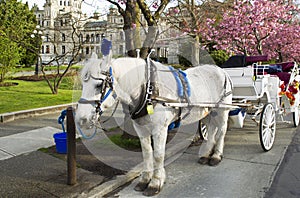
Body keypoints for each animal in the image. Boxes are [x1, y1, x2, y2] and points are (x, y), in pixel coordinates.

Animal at [74, 51, 232, 196]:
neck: (148, 90)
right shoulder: (141, 129)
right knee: (211, 130)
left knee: (221, 131)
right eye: (82, 84)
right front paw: (145, 180)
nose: (81, 119)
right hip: (208, 111)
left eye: (99, 85)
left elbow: (158, 155)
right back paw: (206, 155)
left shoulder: (160, 129)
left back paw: (216, 156)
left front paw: (155, 183)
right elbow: (147, 153)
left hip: (222, 111)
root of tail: (221, 71)